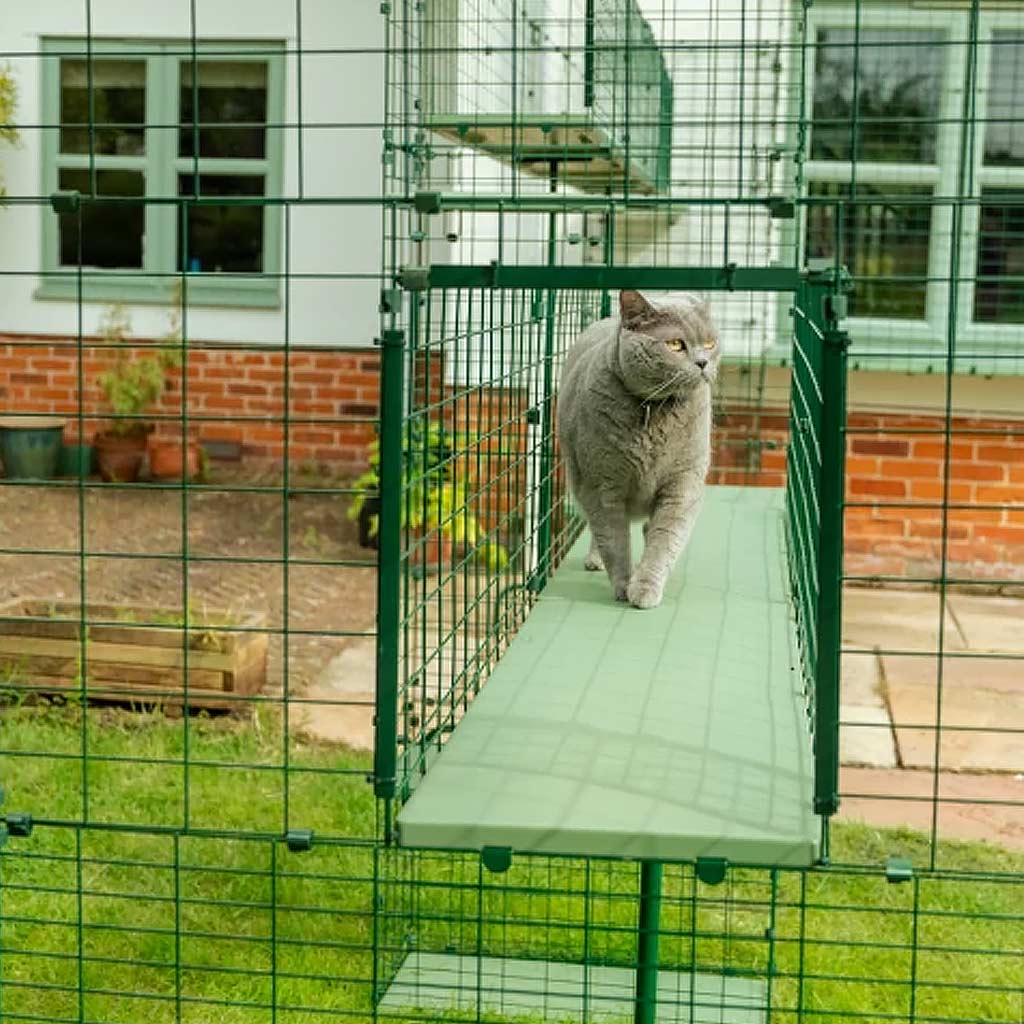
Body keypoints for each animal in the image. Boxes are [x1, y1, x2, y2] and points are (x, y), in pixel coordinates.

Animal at [557, 288, 716, 606]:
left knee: (647, 529)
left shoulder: (682, 482)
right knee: (597, 529)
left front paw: (645, 588)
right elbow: (613, 540)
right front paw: (623, 584)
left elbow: (665, 539)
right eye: (675, 344)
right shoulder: (600, 484)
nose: (703, 363)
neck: (653, 412)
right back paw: (595, 560)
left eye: (710, 343)